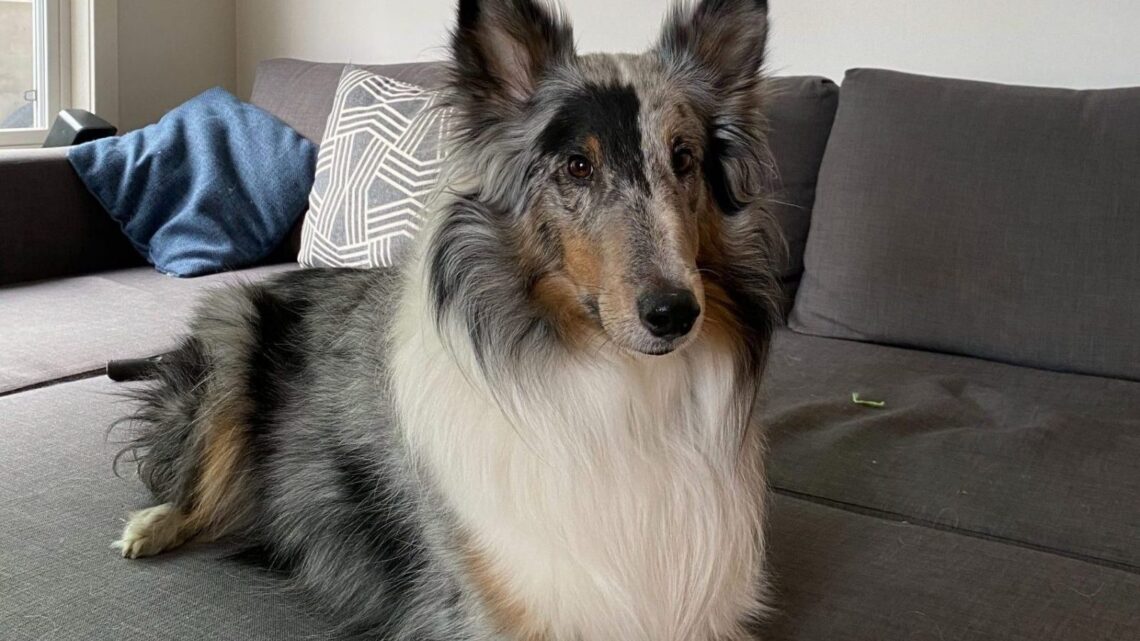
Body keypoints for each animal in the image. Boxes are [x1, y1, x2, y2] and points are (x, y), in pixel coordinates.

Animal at [111, 1, 779, 638]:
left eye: (684, 159)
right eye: (577, 167)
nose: (675, 314)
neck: (621, 387)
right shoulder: (489, 607)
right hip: (230, 337)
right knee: (191, 486)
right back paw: (149, 527)